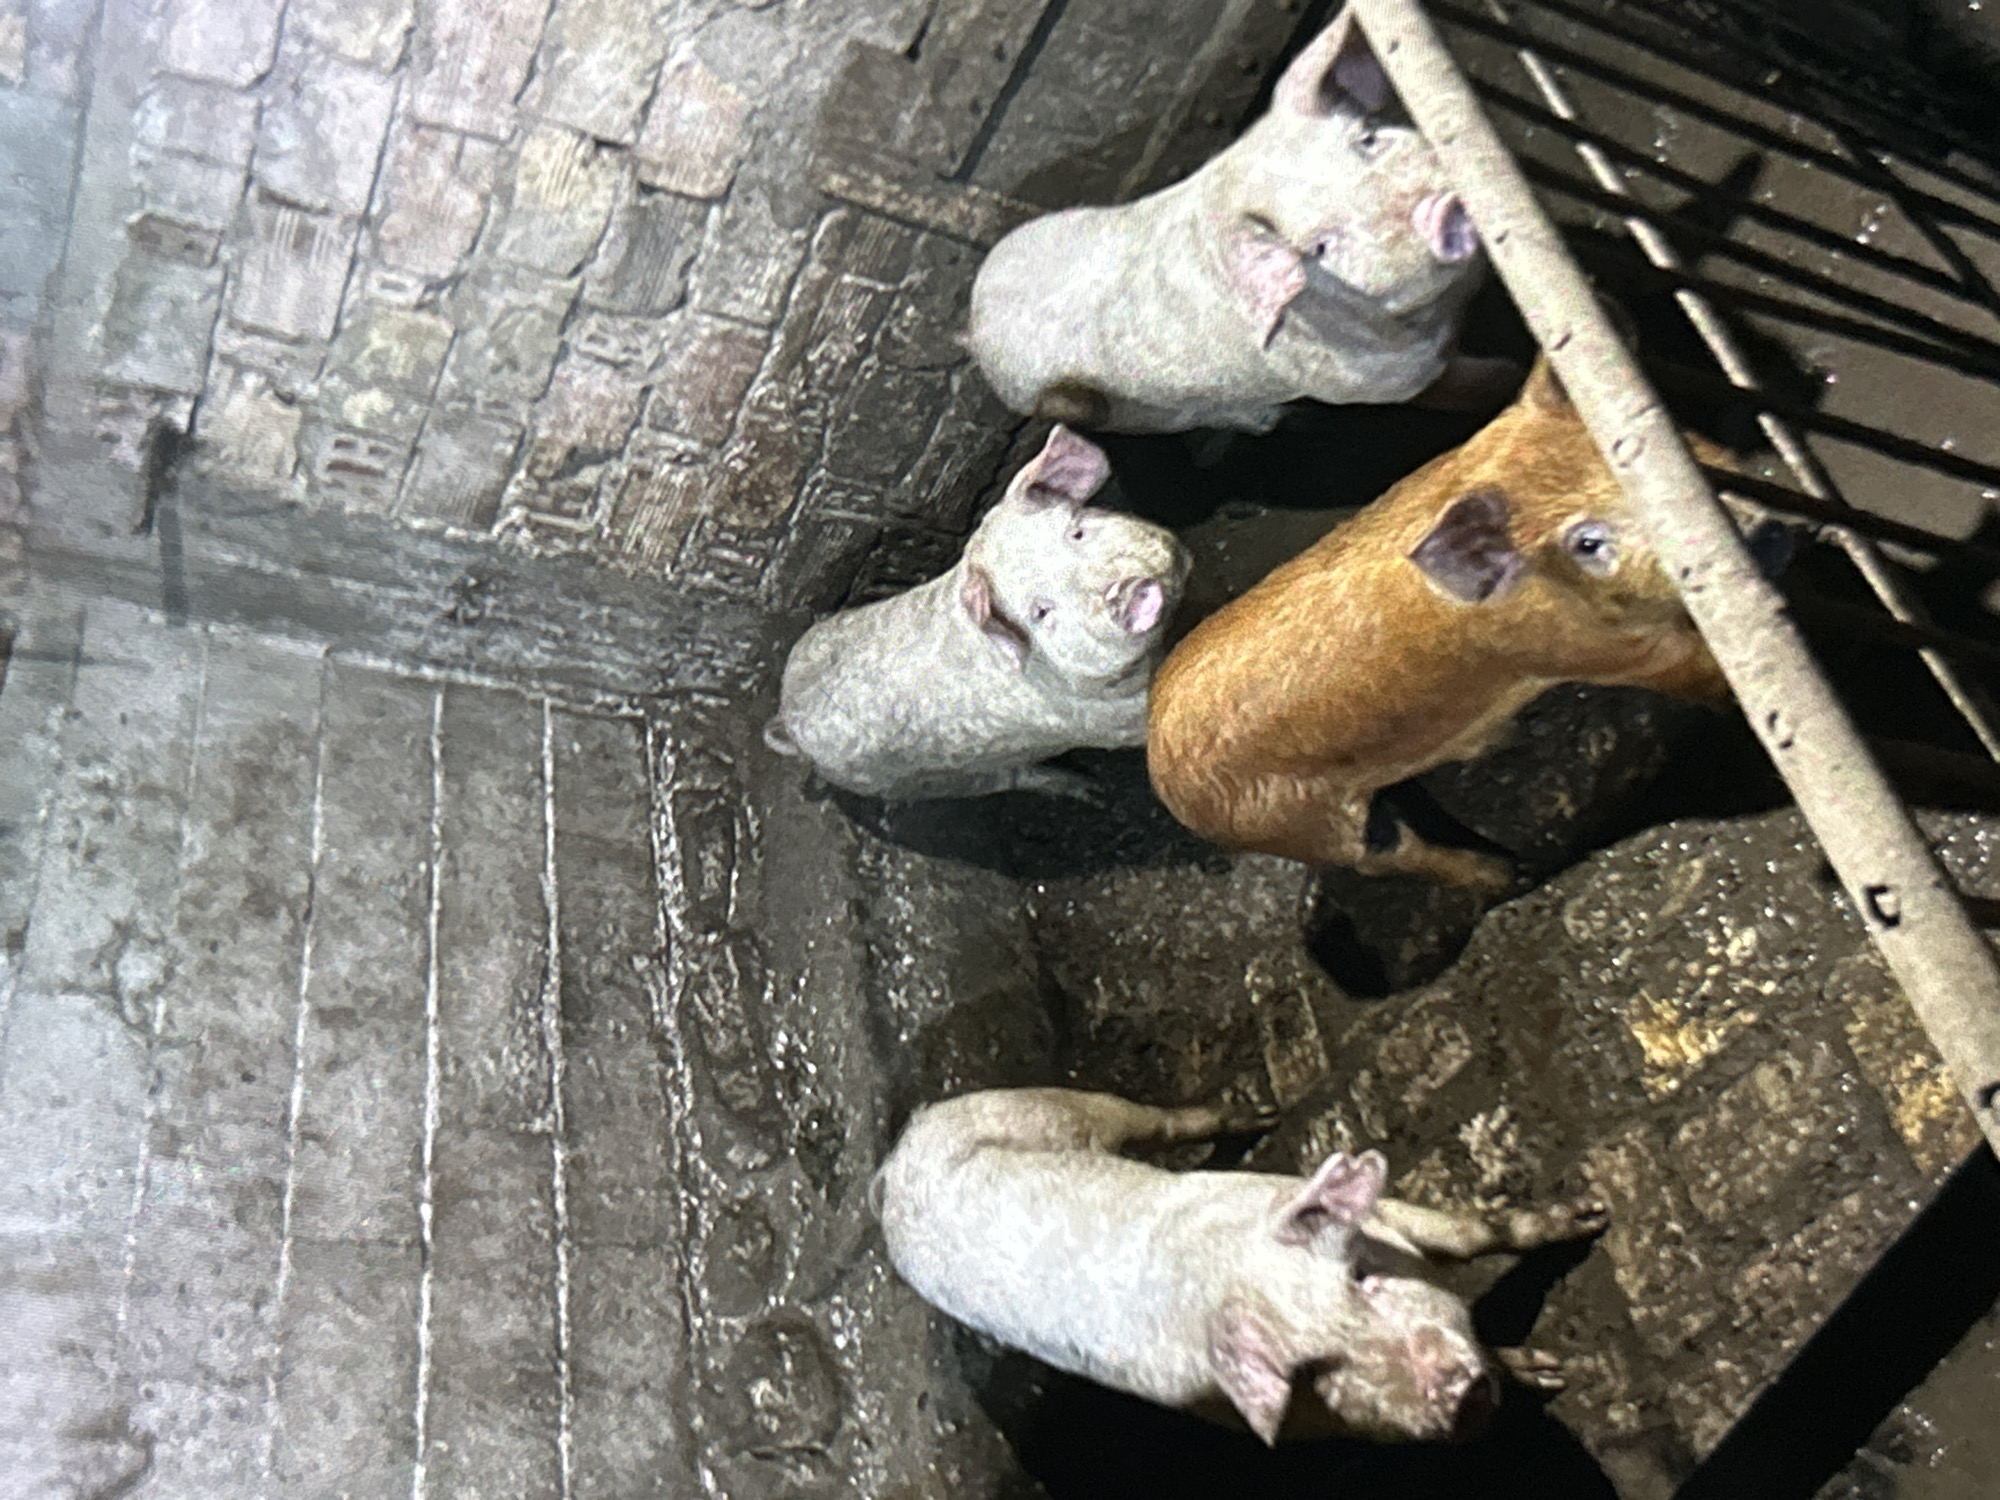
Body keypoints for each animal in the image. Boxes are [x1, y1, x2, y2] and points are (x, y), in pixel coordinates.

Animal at [763, 425, 1190, 801]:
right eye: (1041, 611)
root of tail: (788, 720)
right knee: (1009, 777)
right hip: (925, 782)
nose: (1126, 591)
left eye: (1076, 532)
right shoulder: (1096, 720)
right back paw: (1090, 791)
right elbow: (1141, 725)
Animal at [873, 1086, 1604, 1444]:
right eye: (1311, 1371)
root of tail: (892, 1167)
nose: (1456, 1394)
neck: (1222, 1274)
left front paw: (1589, 1217)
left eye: (1361, 1277)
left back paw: (1257, 1113)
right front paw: (1544, 1374)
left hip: (1036, 1105)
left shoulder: (1349, 1211)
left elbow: (1466, 1236)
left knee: (1149, 1120)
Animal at [965, 5, 1505, 436]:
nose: (1436, 210)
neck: (1443, 308)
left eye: (1367, 138)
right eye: (1320, 247)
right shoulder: (1368, 380)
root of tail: (976, 321)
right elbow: (1462, 387)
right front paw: (1510, 382)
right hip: (1097, 407)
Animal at [1146, 357, 1734, 890]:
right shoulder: (1587, 649)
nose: (1738, 518)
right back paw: (1507, 875)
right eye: (1587, 543)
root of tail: (1162, 768)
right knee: (1385, 853)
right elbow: (1693, 669)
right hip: (1301, 823)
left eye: (1657, 441)